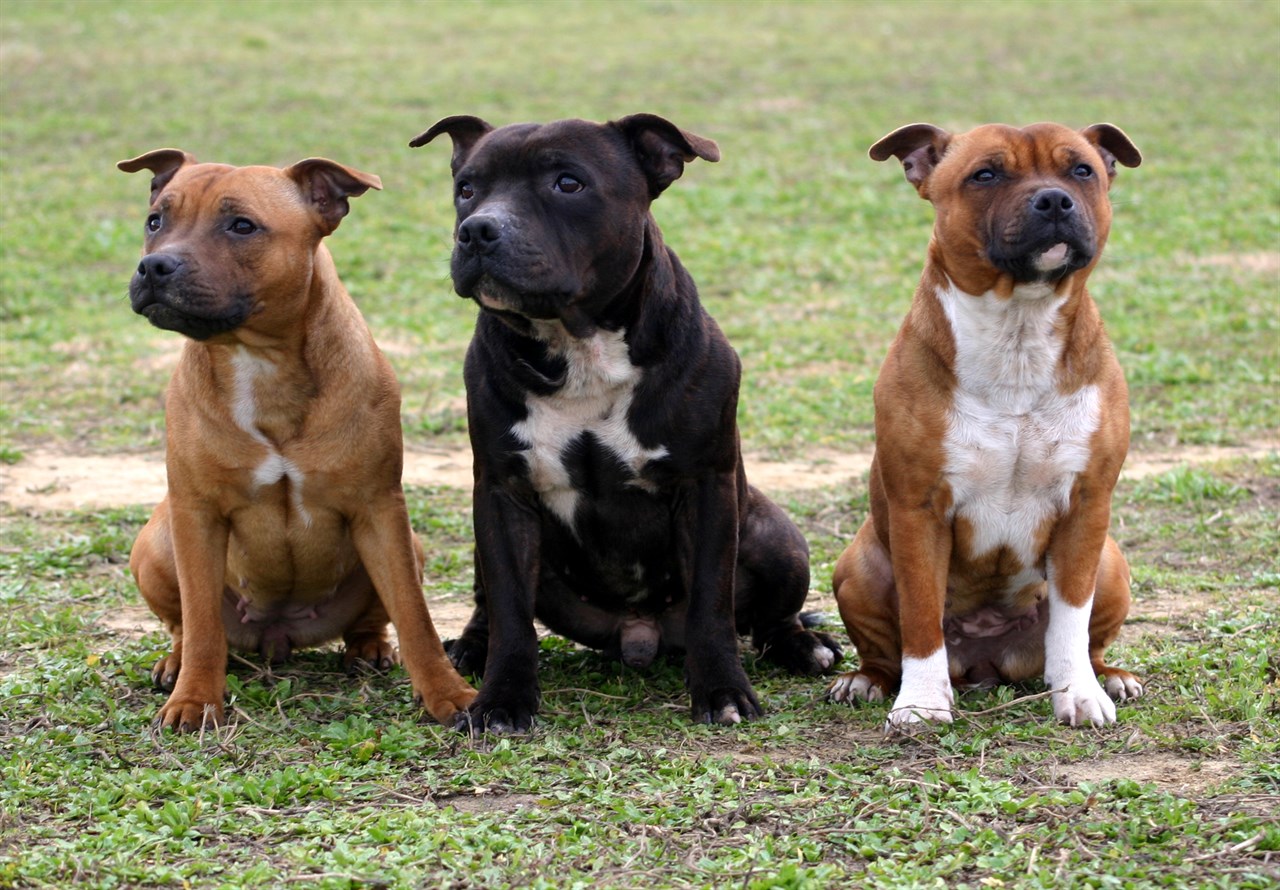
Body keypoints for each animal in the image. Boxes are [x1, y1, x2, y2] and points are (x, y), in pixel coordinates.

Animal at [120, 151, 476, 732]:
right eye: (156, 221)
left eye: (242, 226)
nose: (155, 267)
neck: (260, 359)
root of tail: (277, 633)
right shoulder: (196, 513)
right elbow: (200, 623)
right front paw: (195, 700)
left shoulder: (379, 510)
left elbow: (415, 615)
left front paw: (451, 695)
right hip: (154, 543)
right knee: (184, 625)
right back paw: (174, 663)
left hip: (409, 544)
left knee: (373, 618)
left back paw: (369, 649)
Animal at [414, 114, 844, 732]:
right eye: (467, 188)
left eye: (568, 183)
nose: (476, 231)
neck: (580, 347)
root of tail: (639, 635)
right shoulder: (501, 493)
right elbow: (511, 609)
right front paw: (501, 700)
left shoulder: (706, 487)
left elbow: (712, 603)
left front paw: (723, 691)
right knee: (486, 604)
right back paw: (470, 647)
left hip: (774, 535)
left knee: (768, 618)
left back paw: (803, 647)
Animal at [829, 120, 1152, 732]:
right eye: (985, 175)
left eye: (1081, 170)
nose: (1054, 200)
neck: (1017, 332)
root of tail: (985, 662)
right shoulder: (919, 508)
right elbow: (921, 615)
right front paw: (921, 702)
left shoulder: (1087, 506)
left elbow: (1071, 617)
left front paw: (1078, 693)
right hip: (857, 565)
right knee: (884, 648)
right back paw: (868, 680)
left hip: (1112, 562)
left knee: (1089, 637)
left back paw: (1110, 676)